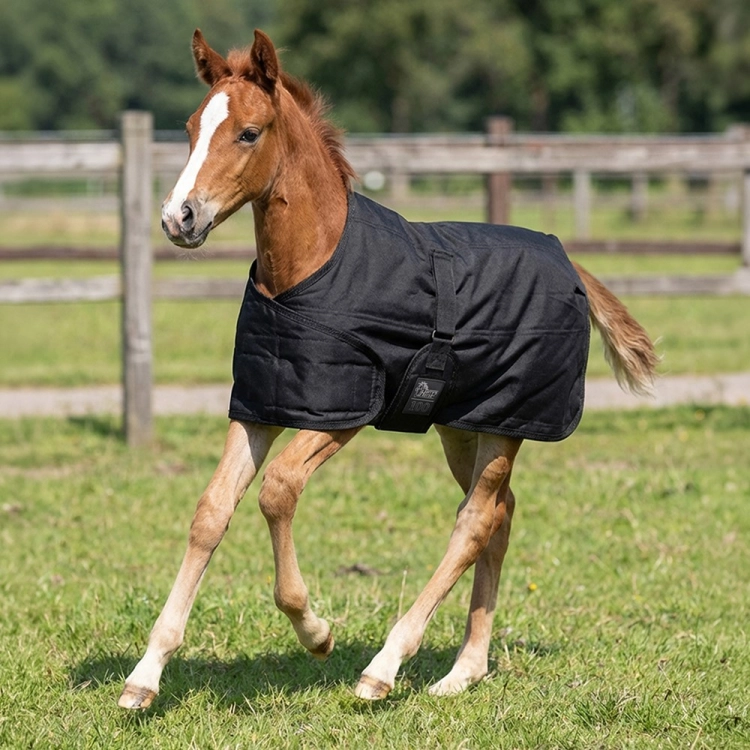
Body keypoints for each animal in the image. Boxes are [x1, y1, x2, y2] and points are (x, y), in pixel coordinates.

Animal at [118, 29, 658, 709]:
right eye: (192, 128)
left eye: (248, 132)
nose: (178, 218)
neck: (309, 267)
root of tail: (569, 263)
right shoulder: (263, 404)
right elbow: (211, 512)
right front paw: (145, 675)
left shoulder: (344, 409)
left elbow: (277, 490)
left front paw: (316, 631)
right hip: (463, 425)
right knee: (501, 513)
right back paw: (465, 669)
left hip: (507, 423)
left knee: (475, 521)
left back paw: (385, 666)